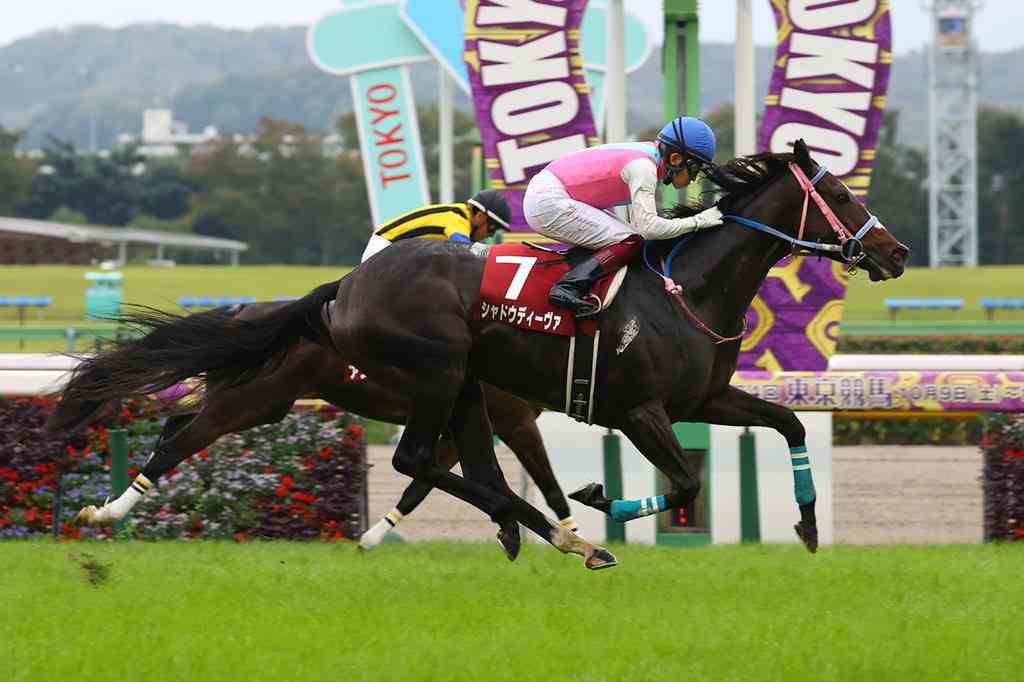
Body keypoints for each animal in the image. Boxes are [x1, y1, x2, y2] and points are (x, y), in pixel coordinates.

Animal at [57, 299, 577, 548]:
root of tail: (243, 312)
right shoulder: (513, 419)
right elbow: (549, 486)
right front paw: (572, 532)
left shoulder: (456, 427)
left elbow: (420, 489)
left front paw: (372, 537)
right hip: (251, 401)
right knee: (177, 443)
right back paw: (109, 511)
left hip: (255, 400)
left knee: (176, 424)